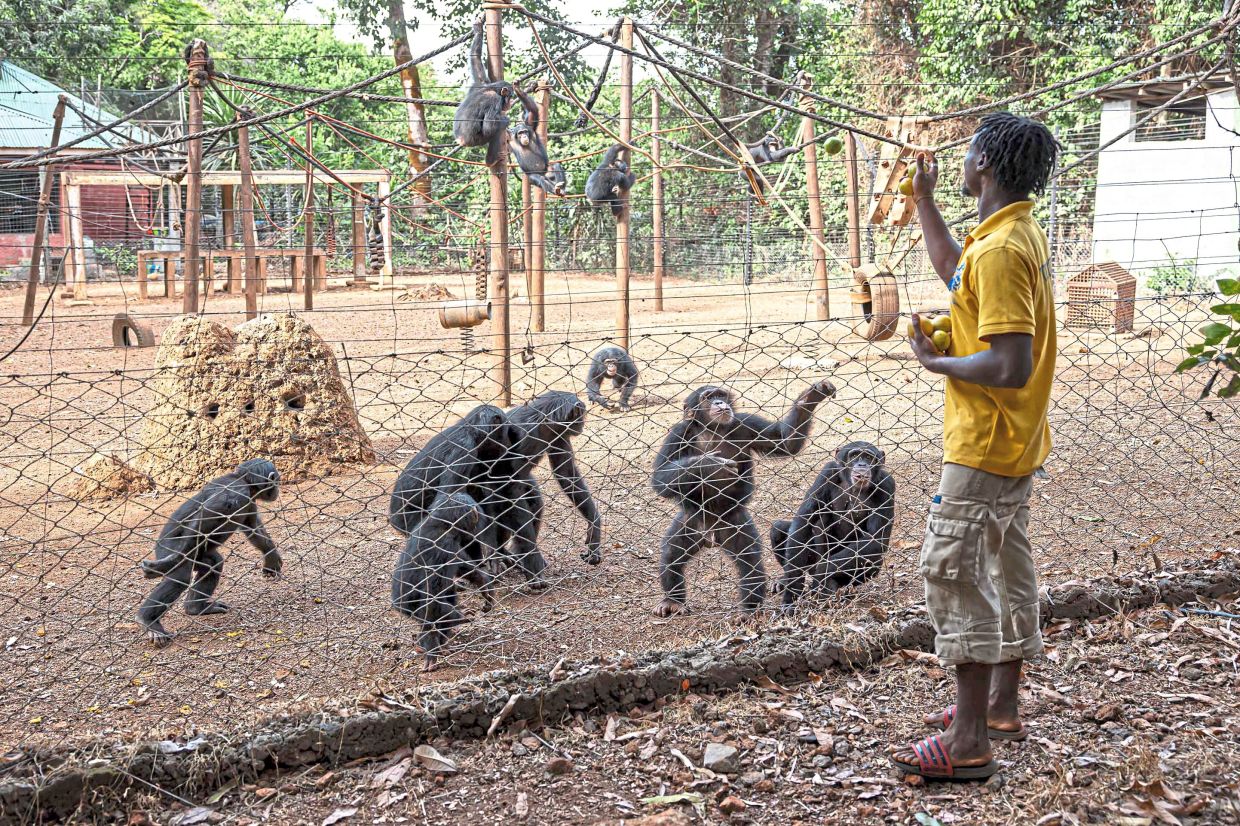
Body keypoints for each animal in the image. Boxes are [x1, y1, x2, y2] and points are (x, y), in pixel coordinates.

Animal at [137, 459, 281, 646]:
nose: (277, 488)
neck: (245, 481)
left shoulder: (250, 503)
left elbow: (254, 528)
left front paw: (271, 558)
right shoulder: (236, 492)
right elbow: (204, 518)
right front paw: (167, 563)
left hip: (200, 555)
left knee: (213, 564)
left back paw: (196, 608)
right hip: (168, 546)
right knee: (180, 577)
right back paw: (149, 621)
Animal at [391, 491, 495, 671]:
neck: (443, 524)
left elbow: (459, 562)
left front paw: (483, 581)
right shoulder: (443, 547)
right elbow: (431, 598)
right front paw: (462, 616)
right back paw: (433, 643)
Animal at [453, 19, 516, 169]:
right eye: (510, 96)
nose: (510, 103)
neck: (491, 89)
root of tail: (460, 140)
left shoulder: (480, 83)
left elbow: (476, 61)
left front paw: (478, 30)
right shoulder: (494, 100)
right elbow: (489, 127)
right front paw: (506, 119)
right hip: (475, 140)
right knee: (496, 132)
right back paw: (491, 160)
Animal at [650, 380, 836, 617]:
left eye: (721, 395)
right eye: (708, 397)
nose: (719, 402)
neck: (712, 430)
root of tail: (711, 537)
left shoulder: (746, 424)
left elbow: (783, 442)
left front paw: (811, 397)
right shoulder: (677, 434)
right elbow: (661, 477)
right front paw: (710, 464)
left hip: (735, 523)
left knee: (750, 562)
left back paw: (748, 609)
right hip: (690, 522)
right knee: (671, 554)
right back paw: (672, 601)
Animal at [770, 441, 896, 607]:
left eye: (869, 457)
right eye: (854, 455)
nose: (862, 464)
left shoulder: (887, 485)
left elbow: (875, 539)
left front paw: (822, 572)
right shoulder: (827, 473)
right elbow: (803, 522)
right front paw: (791, 595)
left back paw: (831, 589)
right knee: (779, 529)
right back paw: (786, 580)